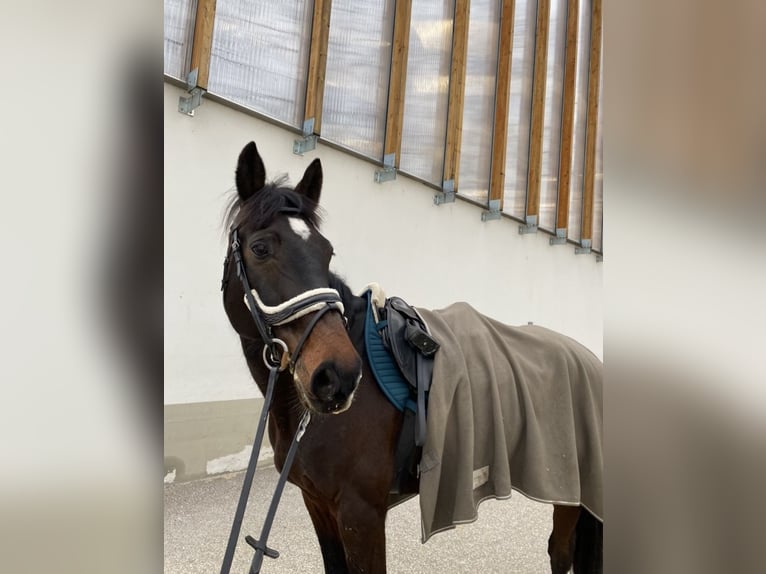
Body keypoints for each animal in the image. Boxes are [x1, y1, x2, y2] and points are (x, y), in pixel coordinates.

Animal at [221, 141, 603, 573]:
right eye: (260, 248)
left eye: (327, 252)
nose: (337, 375)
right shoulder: (318, 505)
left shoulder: (361, 515)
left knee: (561, 550)